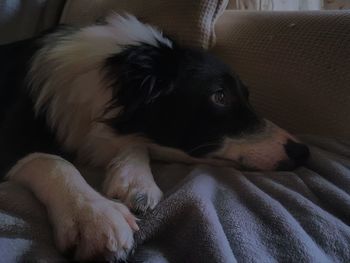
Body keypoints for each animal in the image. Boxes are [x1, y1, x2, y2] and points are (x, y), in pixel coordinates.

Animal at [0, 14, 308, 262]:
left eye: (246, 95)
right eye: (220, 96)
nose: (303, 152)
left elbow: (136, 146)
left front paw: (135, 182)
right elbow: (51, 161)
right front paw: (94, 215)